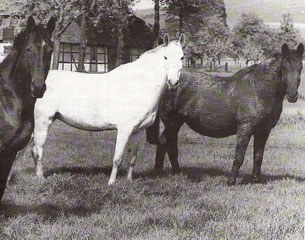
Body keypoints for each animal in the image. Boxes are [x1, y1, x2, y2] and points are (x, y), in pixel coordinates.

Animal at [32, 33, 184, 185]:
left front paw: (129, 181)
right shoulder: (124, 130)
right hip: (43, 122)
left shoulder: (138, 131)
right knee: (38, 151)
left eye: (182, 57)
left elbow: (132, 158)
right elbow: (117, 159)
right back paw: (41, 179)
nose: (173, 82)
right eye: (165, 57)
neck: (137, 85)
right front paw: (111, 183)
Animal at [146, 43, 302, 185]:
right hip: (171, 122)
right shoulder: (245, 129)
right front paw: (231, 181)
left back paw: (172, 173)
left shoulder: (263, 131)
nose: (293, 96)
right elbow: (239, 156)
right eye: (284, 67)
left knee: (166, 143)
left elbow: (258, 156)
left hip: (177, 122)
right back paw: (164, 172)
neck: (258, 90)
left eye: (300, 67)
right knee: (166, 143)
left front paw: (256, 180)